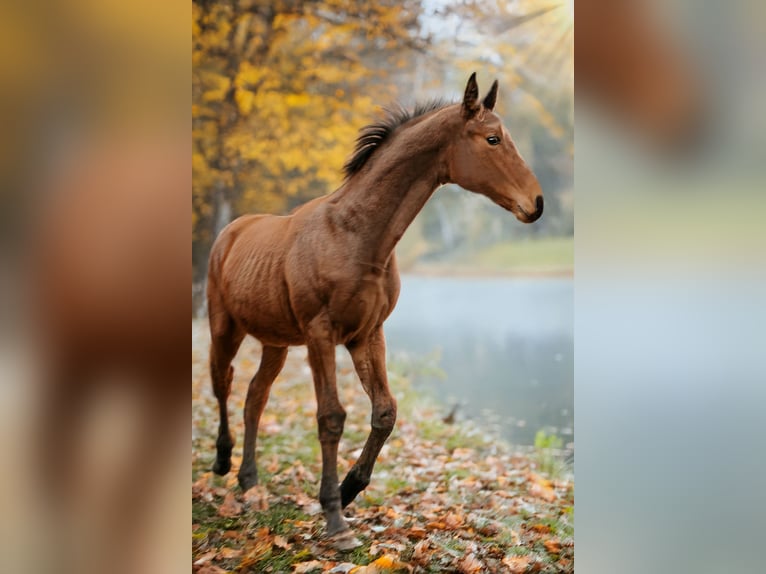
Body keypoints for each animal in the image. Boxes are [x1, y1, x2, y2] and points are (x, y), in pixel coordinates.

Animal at [207, 74, 544, 552]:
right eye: (492, 138)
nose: (536, 203)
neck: (355, 235)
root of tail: (232, 230)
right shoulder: (321, 334)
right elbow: (331, 417)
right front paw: (334, 518)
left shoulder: (368, 334)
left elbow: (385, 411)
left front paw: (349, 489)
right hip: (225, 328)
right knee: (224, 382)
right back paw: (222, 462)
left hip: (277, 342)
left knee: (256, 395)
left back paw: (250, 481)